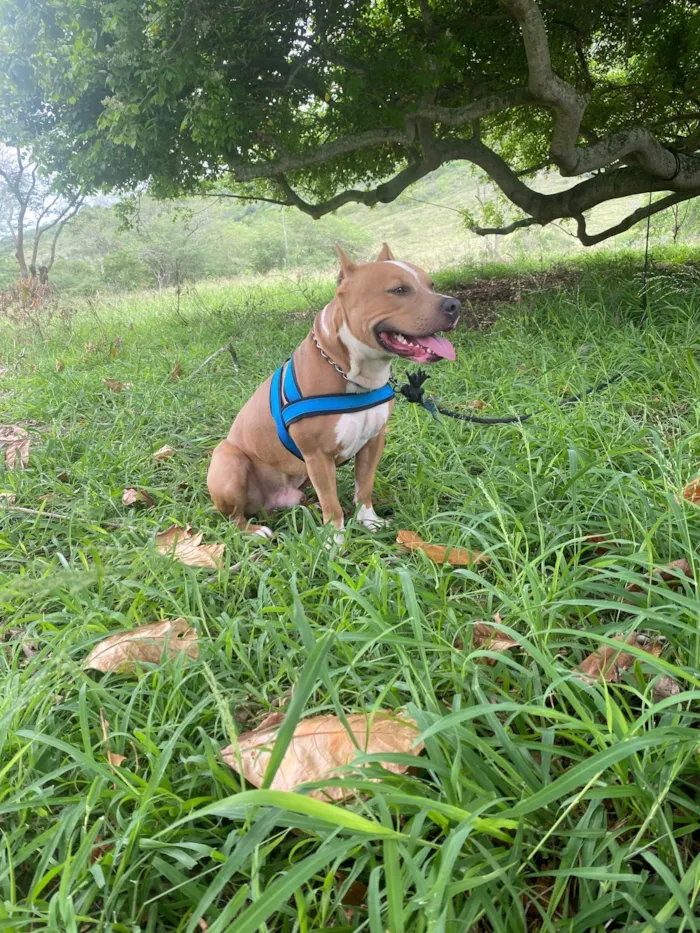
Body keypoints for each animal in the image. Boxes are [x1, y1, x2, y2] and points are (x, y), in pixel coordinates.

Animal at [206, 244, 460, 540]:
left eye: (431, 285)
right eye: (399, 290)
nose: (454, 305)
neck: (352, 373)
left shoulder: (373, 442)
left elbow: (364, 488)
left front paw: (369, 522)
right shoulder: (318, 456)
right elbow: (333, 504)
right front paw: (334, 541)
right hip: (229, 461)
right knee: (233, 518)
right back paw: (255, 531)